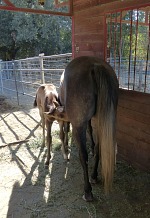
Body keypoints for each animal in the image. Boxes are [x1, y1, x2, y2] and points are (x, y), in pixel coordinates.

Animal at [58, 55, 118, 201]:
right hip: (102, 121)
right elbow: (90, 131)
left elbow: (67, 129)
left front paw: (66, 148)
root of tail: (95, 65)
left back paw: (88, 191)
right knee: (99, 148)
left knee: (83, 155)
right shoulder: (90, 120)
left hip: (79, 125)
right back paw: (94, 176)